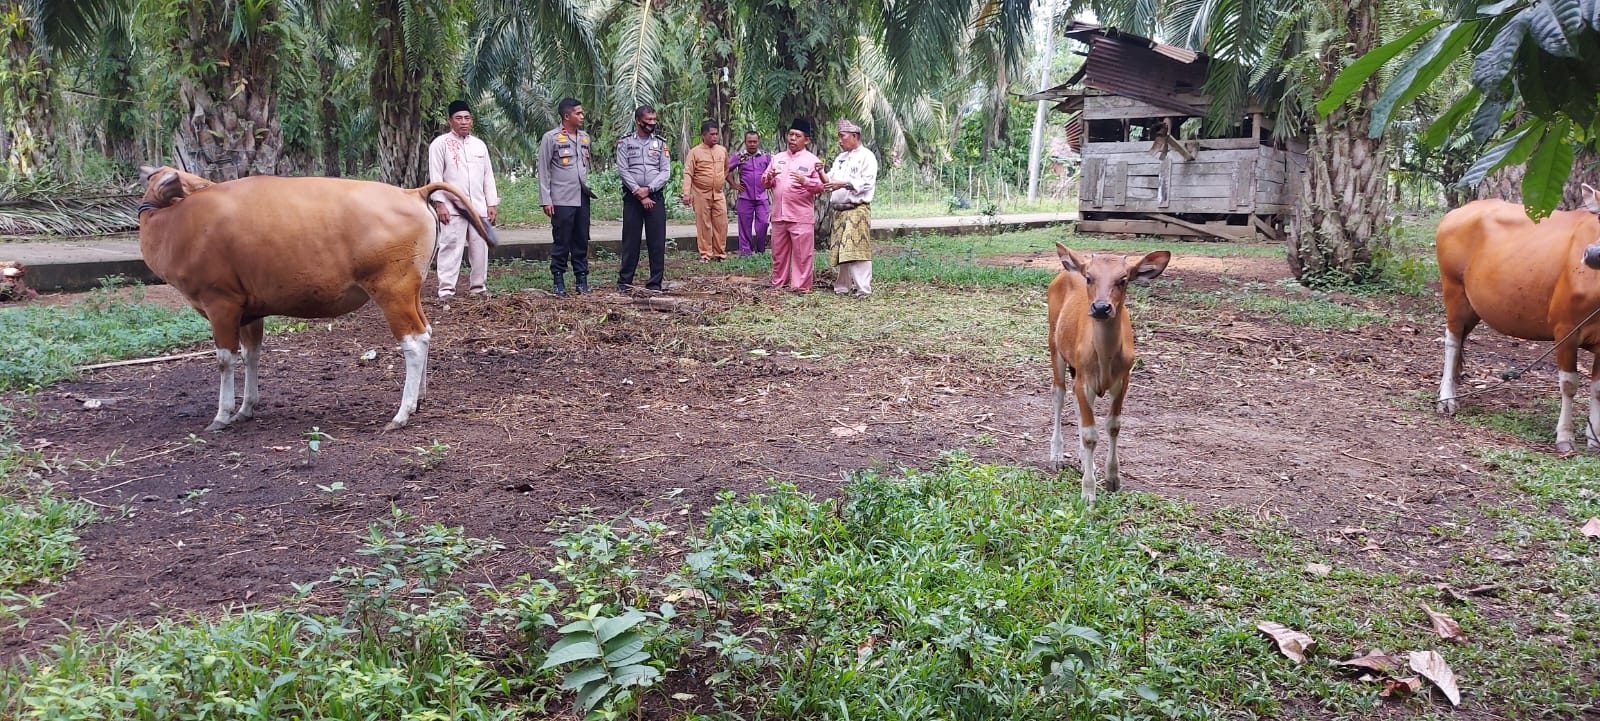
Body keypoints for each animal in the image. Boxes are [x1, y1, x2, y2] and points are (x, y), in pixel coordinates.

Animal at [137, 166, 492, 431]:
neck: (179, 223)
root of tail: (412, 192)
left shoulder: (220, 305)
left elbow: (226, 360)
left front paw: (222, 414)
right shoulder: (248, 312)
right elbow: (252, 355)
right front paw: (246, 408)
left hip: (393, 292)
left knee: (414, 342)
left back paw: (401, 413)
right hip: (412, 292)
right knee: (427, 332)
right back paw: (418, 400)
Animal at [1043, 239, 1171, 505]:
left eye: (1123, 279)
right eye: (1089, 277)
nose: (1101, 308)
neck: (1104, 359)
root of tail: (1070, 267)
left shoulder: (1123, 379)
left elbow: (1113, 425)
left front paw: (1112, 478)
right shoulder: (1083, 379)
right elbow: (1090, 434)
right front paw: (1088, 494)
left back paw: (1084, 461)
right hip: (1054, 344)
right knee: (1058, 393)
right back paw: (1057, 456)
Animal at [1433, 189, 1600, 454]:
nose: (1593, 254)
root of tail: (1457, 212)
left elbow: (1597, 389)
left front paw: (1594, 437)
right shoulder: (1565, 328)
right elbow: (1569, 384)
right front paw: (1565, 436)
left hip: (1473, 306)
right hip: (1453, 288)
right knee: (1452, 340)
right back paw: (1447, 399)